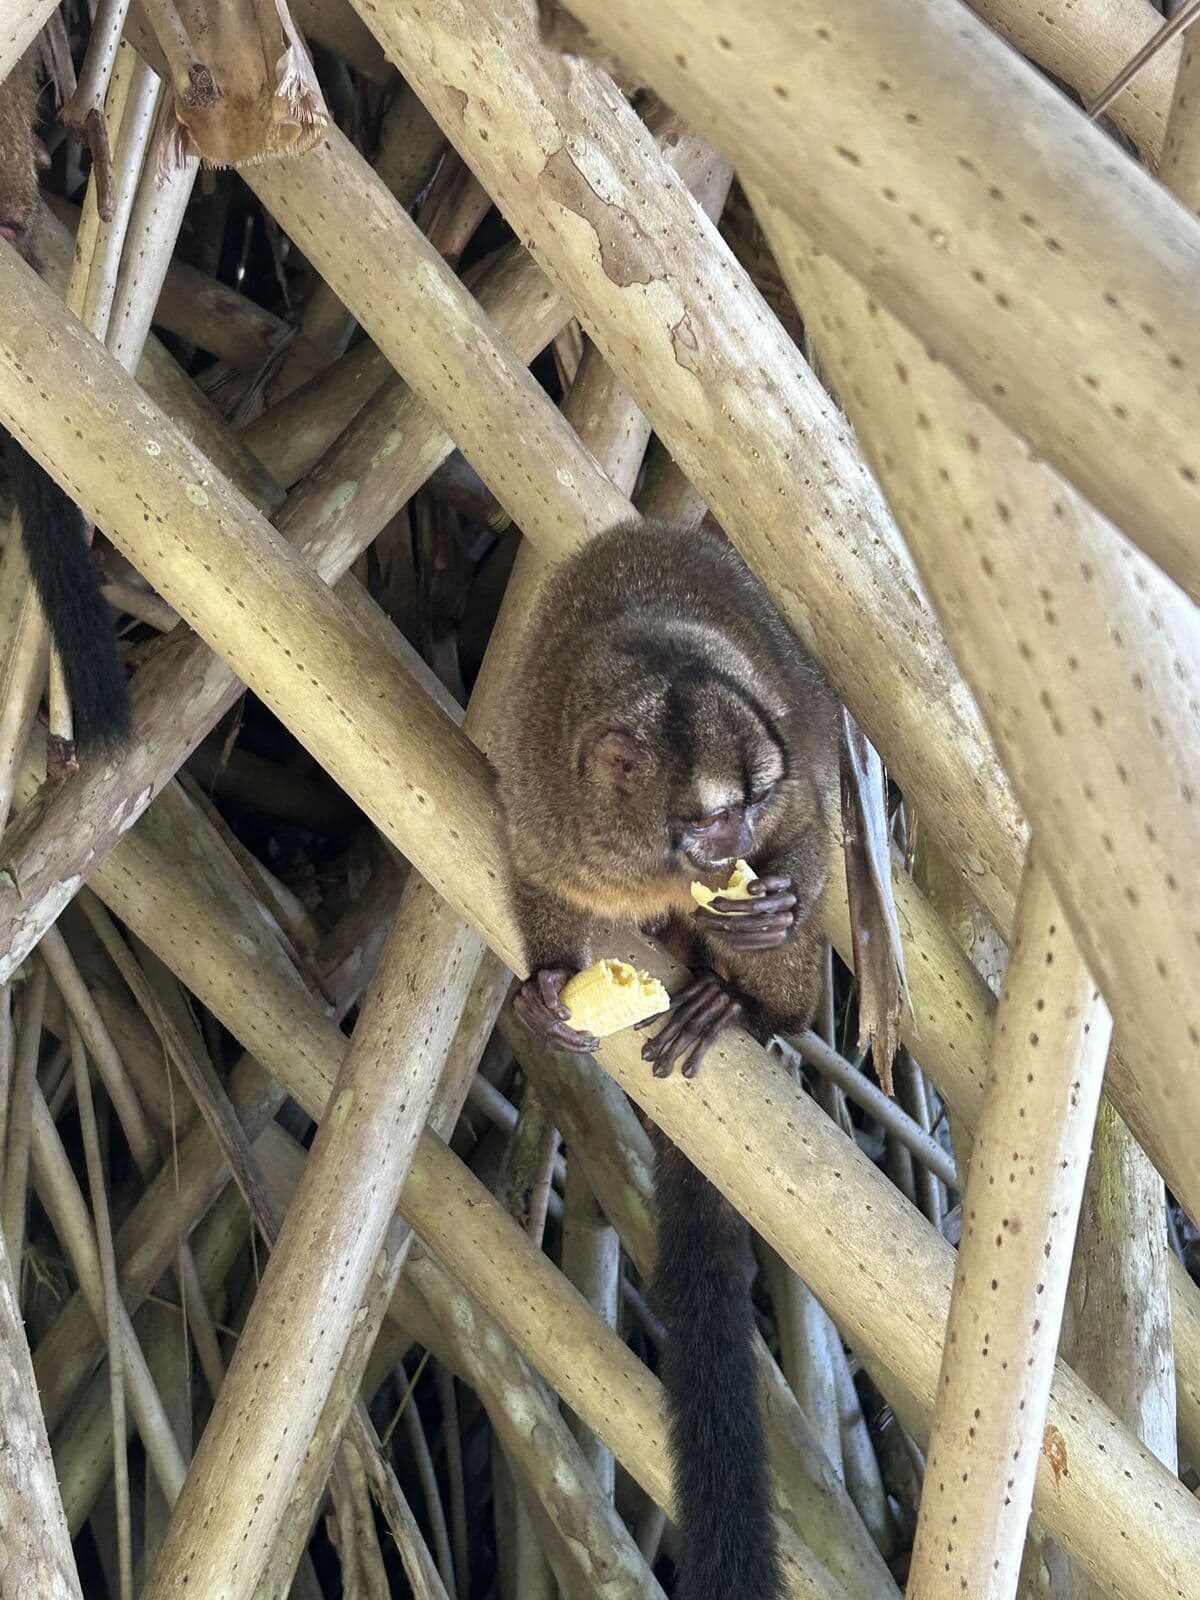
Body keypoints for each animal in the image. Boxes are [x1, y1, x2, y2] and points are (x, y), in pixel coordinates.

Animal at [491, 516, 840, 1600]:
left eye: (748, 807)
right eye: (705, 818)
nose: (734, 844)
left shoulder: (791, 774)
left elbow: (817, 820)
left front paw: (769, 916)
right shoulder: (549, 802)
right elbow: (532, 867)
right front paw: (547, 987)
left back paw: (752, 1006)